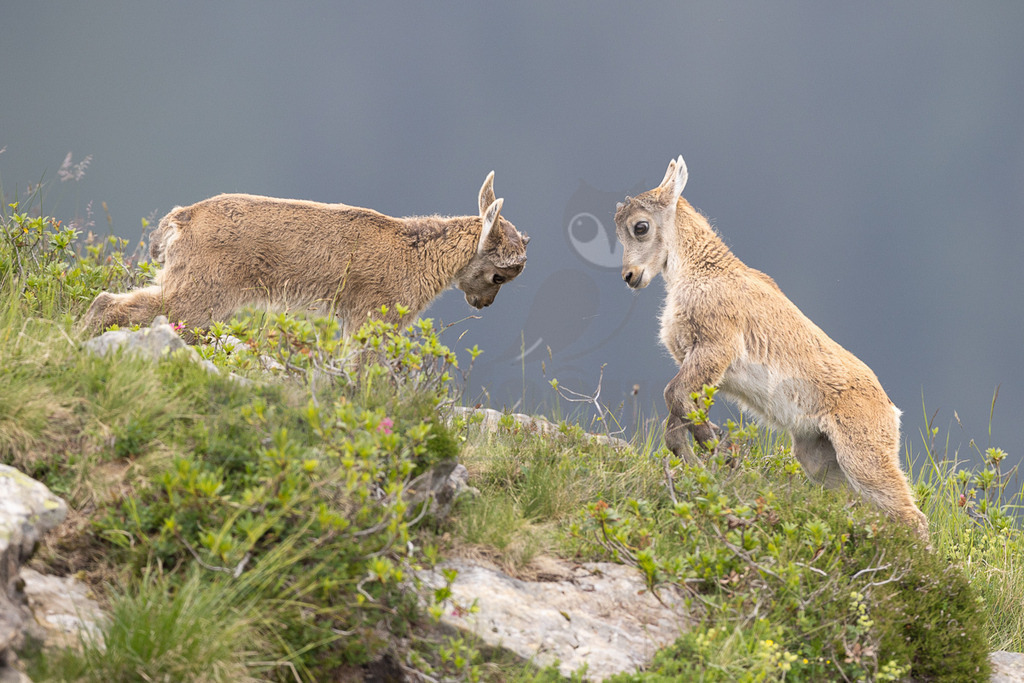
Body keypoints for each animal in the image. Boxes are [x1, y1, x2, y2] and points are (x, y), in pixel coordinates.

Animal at [615, 155, 928, 541]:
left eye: (640, 227)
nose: (630, 276)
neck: (701, 271)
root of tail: (889, 410)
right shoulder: (697, 364)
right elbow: (675, 419)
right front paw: (702, 455)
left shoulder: (715, 347)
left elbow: (674, 396)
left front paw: (715, 444)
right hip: (820, 458)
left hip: (863, 454)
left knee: (911, 516)